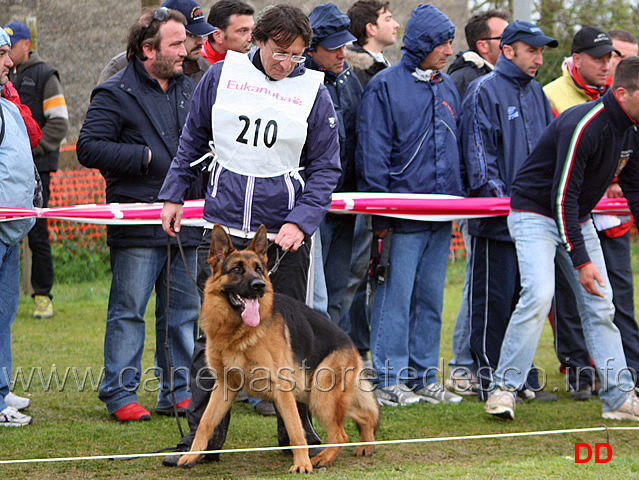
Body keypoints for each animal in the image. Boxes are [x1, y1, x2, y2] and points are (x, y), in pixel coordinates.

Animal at [178, 225, 380, 472]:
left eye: (259, 269)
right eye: (237, 269)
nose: (260, 286)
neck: (238, 332)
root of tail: (350, 343)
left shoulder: (282, 388)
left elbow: (295, 430)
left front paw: (302, 465)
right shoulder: (224, 386)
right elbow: (205, 423)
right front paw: (192, 455)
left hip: (321, 396)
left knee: (341, 435)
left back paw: (323, 458)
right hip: (313, 394)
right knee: (365, 414)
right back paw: (366, 444)